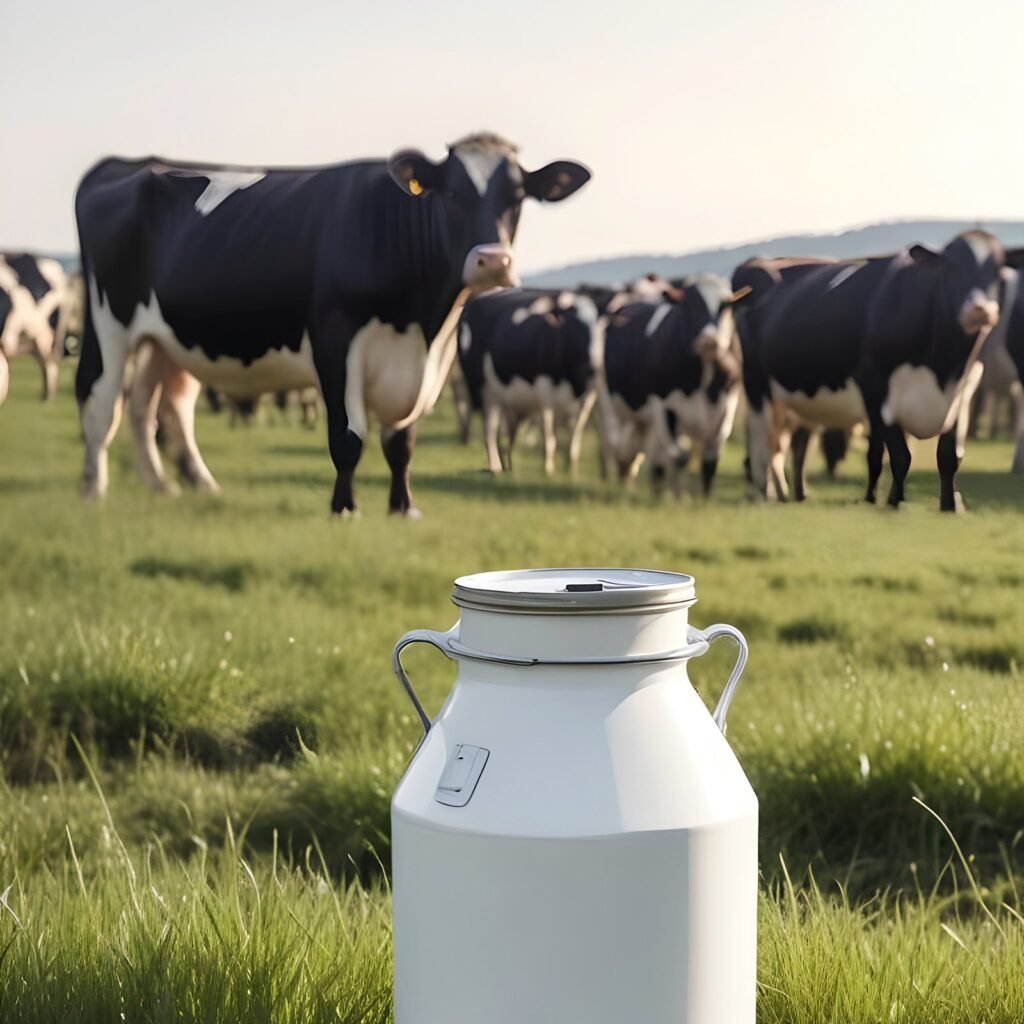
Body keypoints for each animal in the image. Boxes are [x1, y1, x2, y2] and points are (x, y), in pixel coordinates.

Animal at [458, 288, 602, 474]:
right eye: (575, 324)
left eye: (602, 326)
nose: (596, 362)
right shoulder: (543, 391)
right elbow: (549, 435)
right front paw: (548, 469)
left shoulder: (587, 398)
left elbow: (575, 435)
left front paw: (571, 469)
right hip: (484, 391)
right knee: (490, 430)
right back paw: (496, 468)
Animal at [598, 273, 742, 494]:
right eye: (689, 306)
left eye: (725, 305)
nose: (708, 342)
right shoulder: (662, 408)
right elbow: (680, 457)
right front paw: (678, 496)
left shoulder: (725, 409)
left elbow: (710, 461)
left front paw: (703, 496)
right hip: (610, 404)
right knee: (618, 445)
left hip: (644, 420)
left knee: (640, 451)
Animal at [739, 231, 1004, 512]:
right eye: (951, 268)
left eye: (998, 272)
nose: (980, 311)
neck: (940, 371)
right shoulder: (874, 386)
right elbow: (899, 455)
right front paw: (896, 502)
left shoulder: (964, 391)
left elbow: (947, 455)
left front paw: (951, 506)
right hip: (755, 385)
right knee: (761, 443)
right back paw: (762, 492)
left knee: (788, 444)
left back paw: (788, 493)